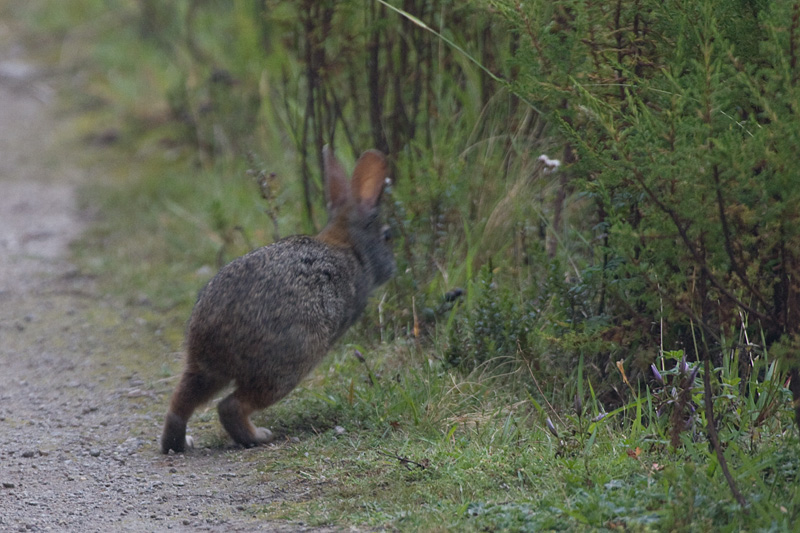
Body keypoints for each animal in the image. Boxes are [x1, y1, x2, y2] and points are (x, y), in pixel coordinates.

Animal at [160, 147, 394, 454]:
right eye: (387, 235)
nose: (392, 268)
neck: (348, 247)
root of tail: (218, 333)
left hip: (204, 369)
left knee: (180, 404)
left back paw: (178, 443)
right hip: (288, 365)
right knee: (231, 406)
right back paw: (259, 436)